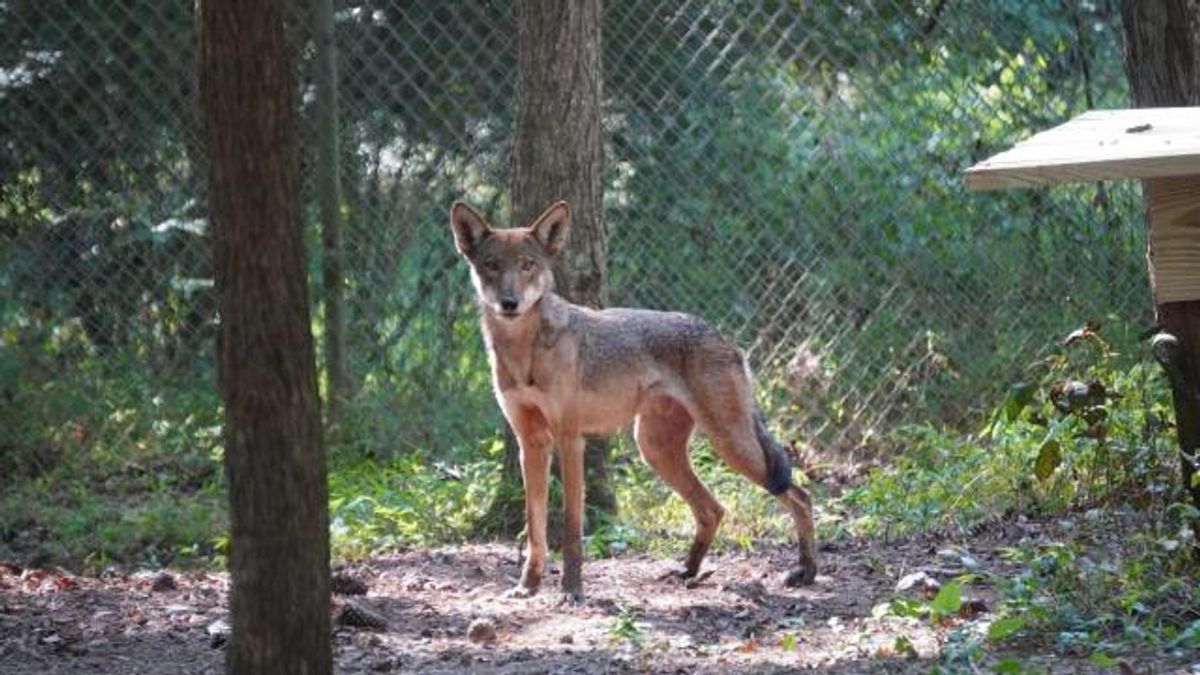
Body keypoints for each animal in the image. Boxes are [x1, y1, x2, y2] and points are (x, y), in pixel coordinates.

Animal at [449, 200, 817, 602]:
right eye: (492, 265)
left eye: (528, 264)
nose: (509, 303)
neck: (523, 353)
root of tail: (726, 339)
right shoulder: (530, 443)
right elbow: (535, 529)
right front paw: (527, 586)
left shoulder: (569, 440)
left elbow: (571, 529)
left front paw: (572, 590)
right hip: (655, 450)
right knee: (713, 509)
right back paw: (687, 571)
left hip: (732, 446)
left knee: (800, 497)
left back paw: (806, 572)